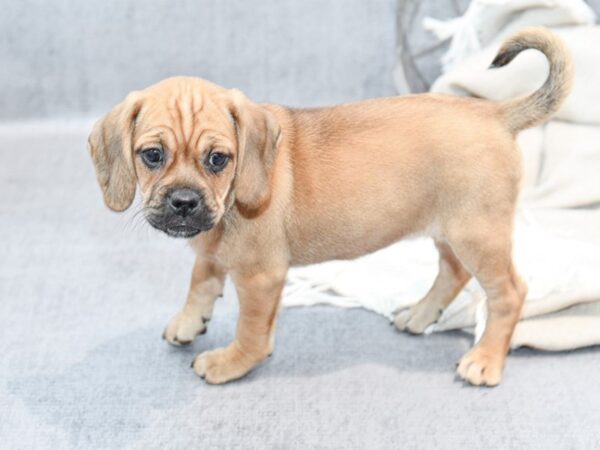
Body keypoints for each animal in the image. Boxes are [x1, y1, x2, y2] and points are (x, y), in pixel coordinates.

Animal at [88, 28, 572, 384]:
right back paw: (420, 315)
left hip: (478, 235)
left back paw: (486, 360)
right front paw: (190, 321)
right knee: (452, 272)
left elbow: (251, 332)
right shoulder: (212, 252)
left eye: (218, 159)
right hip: (450, 230)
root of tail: (495, 114)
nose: (184, 203)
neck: (231, 205)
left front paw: (230, 363)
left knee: (510, 293)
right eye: (152, 155)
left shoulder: (261, 278)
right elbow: (200, 281)